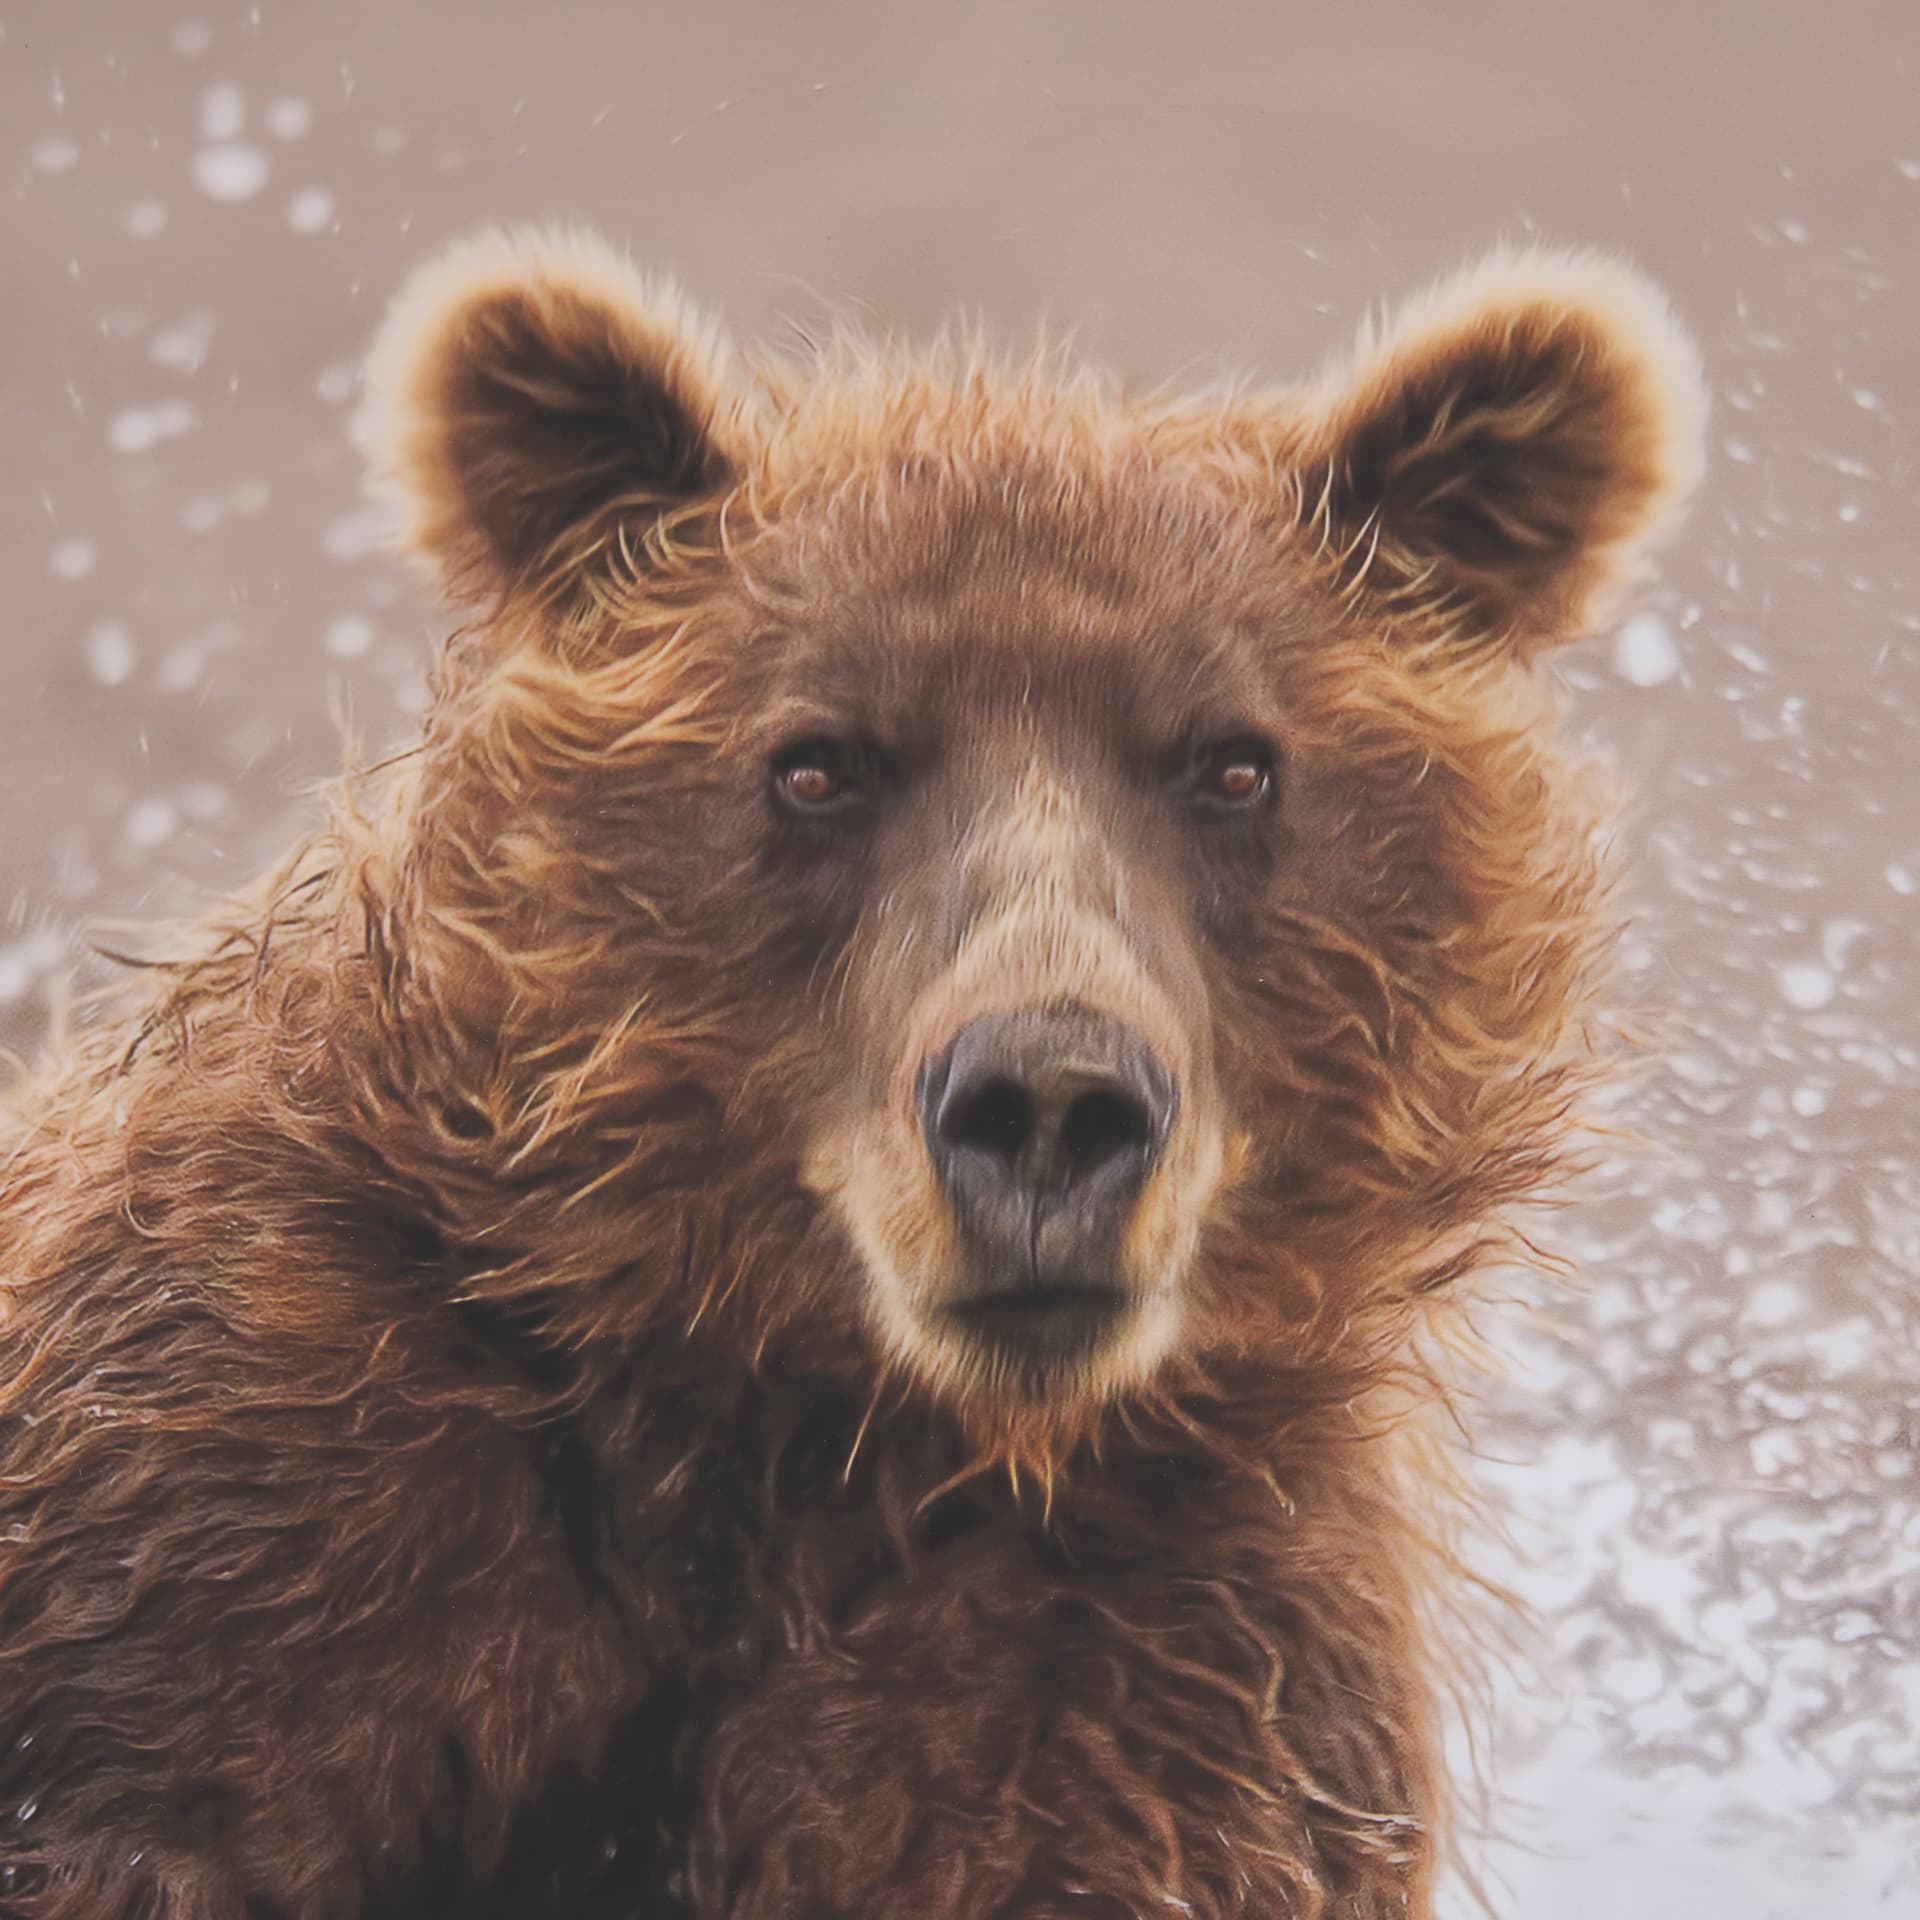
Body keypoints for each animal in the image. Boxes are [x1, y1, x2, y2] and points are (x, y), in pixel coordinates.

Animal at [0, 229, 1703, 1919]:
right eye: (819, 761)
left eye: (1233, 761)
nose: (1049, 1101)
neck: (811, 1426)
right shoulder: (255, 1493)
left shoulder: (1159, 1683)